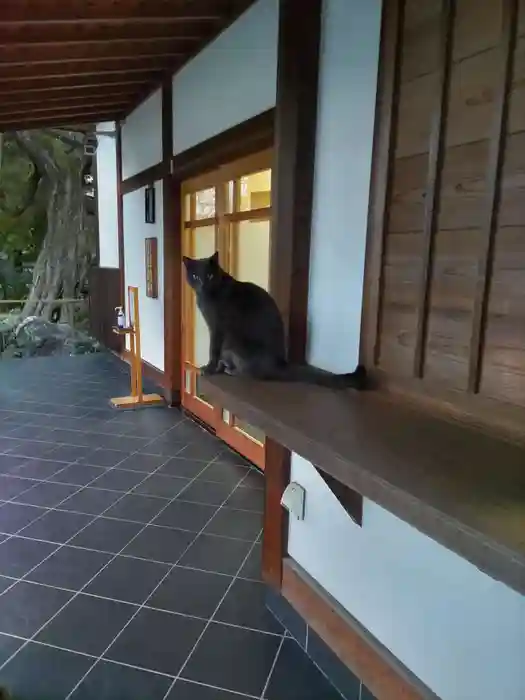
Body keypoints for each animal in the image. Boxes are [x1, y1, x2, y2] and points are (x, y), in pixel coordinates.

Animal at [182, 252, 366, 392]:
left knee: (251, 374)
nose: (203, 284)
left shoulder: (217, 328)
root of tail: (281, 364)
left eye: (209, 275)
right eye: (195, 276)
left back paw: (230, 370)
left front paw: (209, 368)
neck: (207, 297)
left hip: (237, 344)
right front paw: (213, 367)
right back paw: (225, 366)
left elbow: (213, 349)